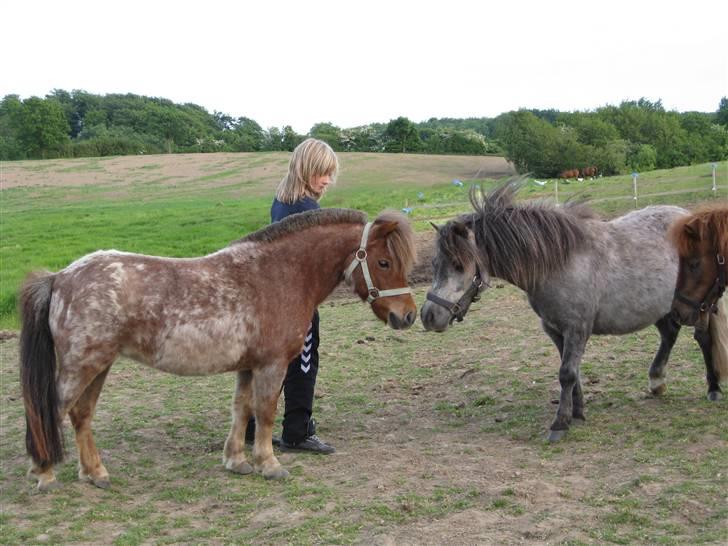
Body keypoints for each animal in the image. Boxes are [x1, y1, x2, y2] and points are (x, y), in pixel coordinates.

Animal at [21, 207, 416, 488]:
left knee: (81, 415)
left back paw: (95, 473)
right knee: (51, 411)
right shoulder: (272, 365)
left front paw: (237, 461)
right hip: (81, 366)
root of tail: (60, 278)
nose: (408, 315)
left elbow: (242, 410)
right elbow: (266, 412)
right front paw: (269, 464)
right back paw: (44, 473)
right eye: (383, 262)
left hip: (99, 366)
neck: (277, 274)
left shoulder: (247, 366)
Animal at [424, 181, 720, 440]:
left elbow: (566, 373)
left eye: (459, 265)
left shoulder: (577, 329)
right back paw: (657, 381)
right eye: (435, 263)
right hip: (663, 307)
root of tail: (688, 216)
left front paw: (560, 424)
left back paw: (713, 388)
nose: (429, 316)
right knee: (669, 334)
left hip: (699, 306)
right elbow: (571, 373)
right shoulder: (556, 330)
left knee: (703, 339)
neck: (558, 263)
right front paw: (577, 413)